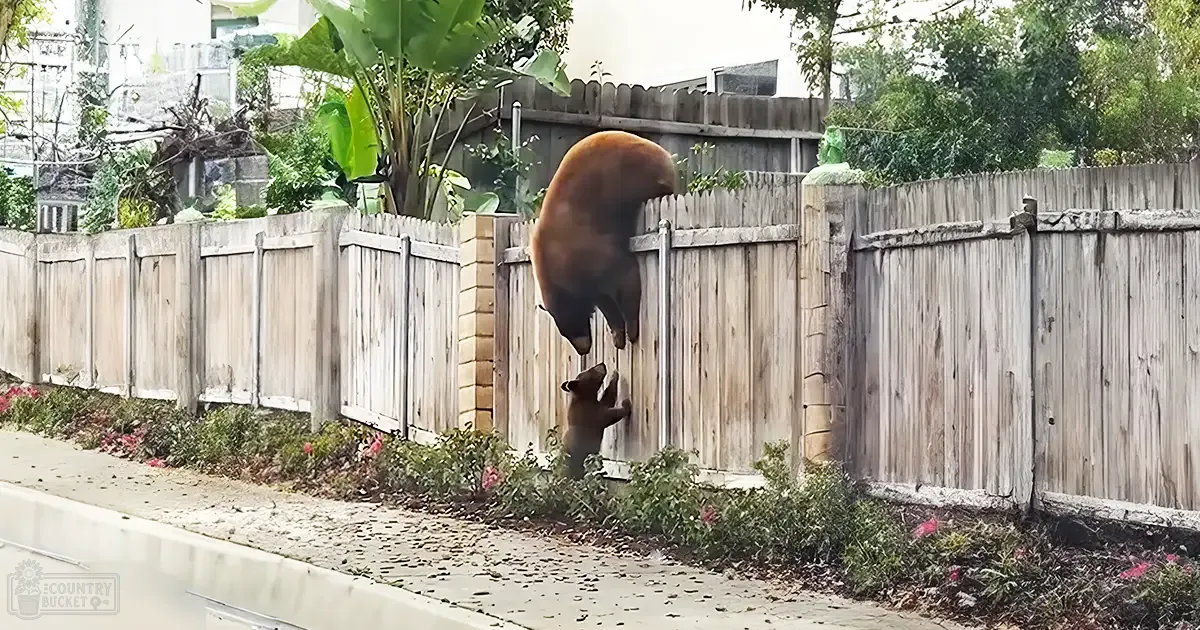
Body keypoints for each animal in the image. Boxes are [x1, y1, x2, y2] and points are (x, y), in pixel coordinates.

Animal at [529, 130, 681, 356]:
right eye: (565, 333)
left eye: (572, 325)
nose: (583, 350)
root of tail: (662, 152)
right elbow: (604, 300)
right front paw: (618, 335)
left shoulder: (589, 249)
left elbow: (625, 275)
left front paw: (632, 331)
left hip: (641, 178)